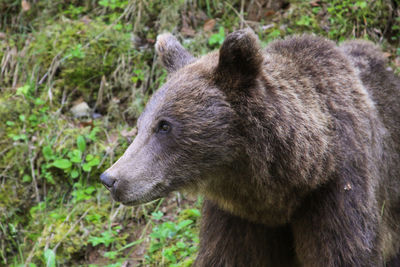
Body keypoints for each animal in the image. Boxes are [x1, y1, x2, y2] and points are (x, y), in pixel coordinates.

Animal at [101, 28, 400, 266]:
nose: (110, 178)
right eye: (140, 125)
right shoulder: (239, 220)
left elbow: (344, 252)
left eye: (164, 125)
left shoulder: (337, 193)